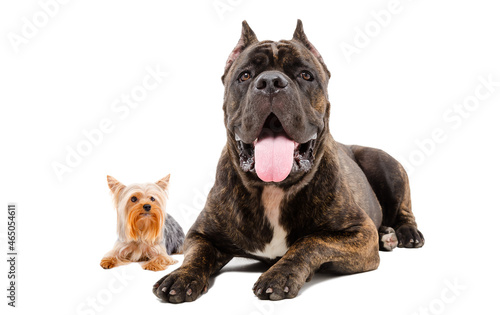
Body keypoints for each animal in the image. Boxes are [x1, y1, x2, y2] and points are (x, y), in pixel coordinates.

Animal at [154, 20, 424, 304]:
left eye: (306, 75)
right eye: (245, 76)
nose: (271, 82)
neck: (273, 189)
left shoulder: (359, 233)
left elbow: (310, 242)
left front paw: (279, 275)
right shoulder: (201, 233)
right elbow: (196, 255)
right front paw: (181, 276)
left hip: (384, 163)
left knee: (404, 210)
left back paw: (405, 234)